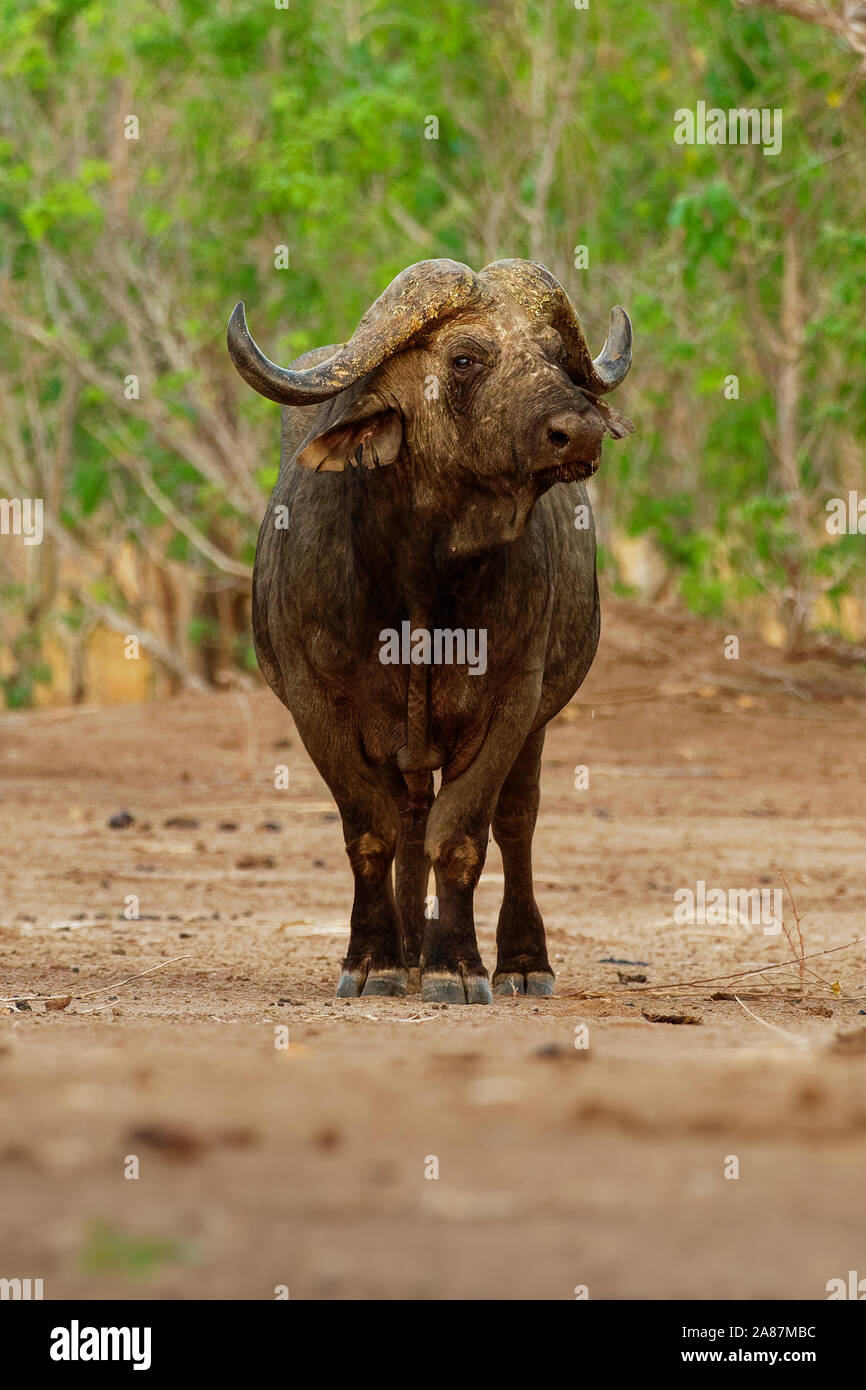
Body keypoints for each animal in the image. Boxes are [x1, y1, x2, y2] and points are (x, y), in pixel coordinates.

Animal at [226, 258, 633, 1000]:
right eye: (466, 358)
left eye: (555, 354)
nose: (580, 432)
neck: (420, 589)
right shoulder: (316, 707)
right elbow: (371, 833)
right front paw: (373, 961)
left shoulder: (512, 702)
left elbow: (464, 835)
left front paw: (459, 966)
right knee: (409, 817)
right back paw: (410, 954)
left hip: (534, 724)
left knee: (515, 822)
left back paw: (519, 962)